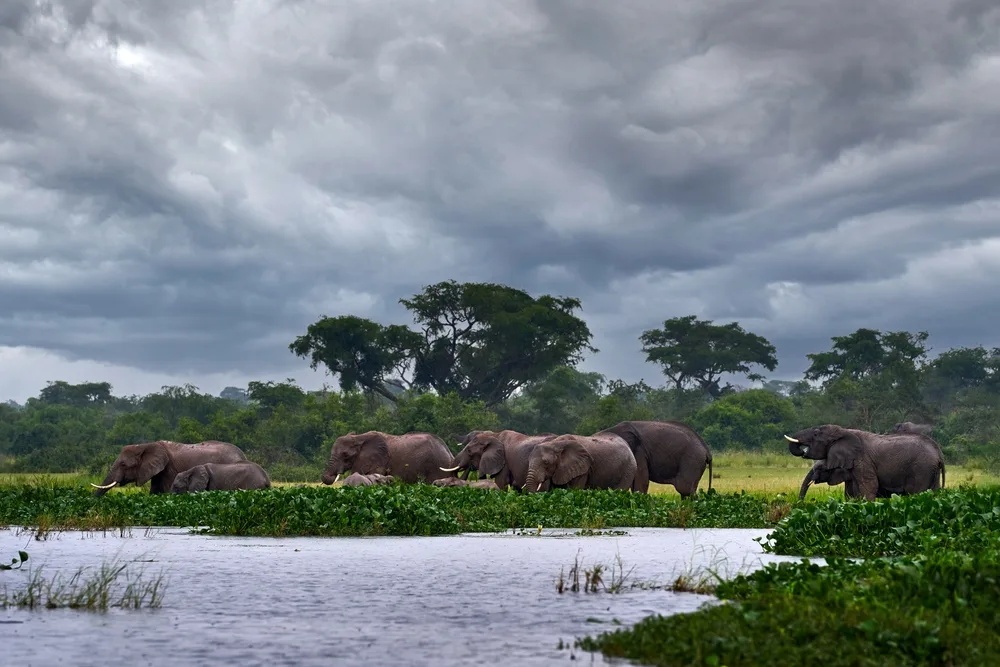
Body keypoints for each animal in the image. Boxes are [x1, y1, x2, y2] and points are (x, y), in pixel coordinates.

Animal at [780, 422, 944, 500]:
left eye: (815, 434)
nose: (801, 504)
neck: (844, 431)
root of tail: (939, 453)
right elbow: (851, 495)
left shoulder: (863, 461)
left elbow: (869, 489)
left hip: (921, 469)